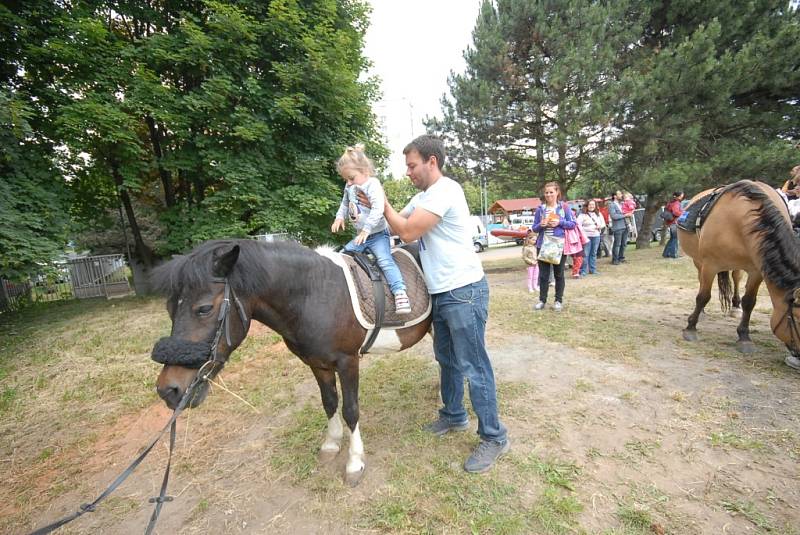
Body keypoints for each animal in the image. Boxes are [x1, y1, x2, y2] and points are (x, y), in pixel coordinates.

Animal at [149, 239, 432, 486]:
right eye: (169, 309)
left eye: (204, 308)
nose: (168, 390)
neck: (315, 295)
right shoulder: (317, 364)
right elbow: (329, 402)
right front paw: (331, 444)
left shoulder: (348, 361)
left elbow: (351, 410)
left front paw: (354, 463)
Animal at [680, 180, 800, 364]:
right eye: (798, 319)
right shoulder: (710, 264)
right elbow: (703, 296)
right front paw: (691, 328)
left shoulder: (757, 270)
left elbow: (749, 302)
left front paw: (744, 337)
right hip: (699, 261)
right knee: (701, 281)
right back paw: (702, 313)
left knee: (736, 278)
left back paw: (735, 307)